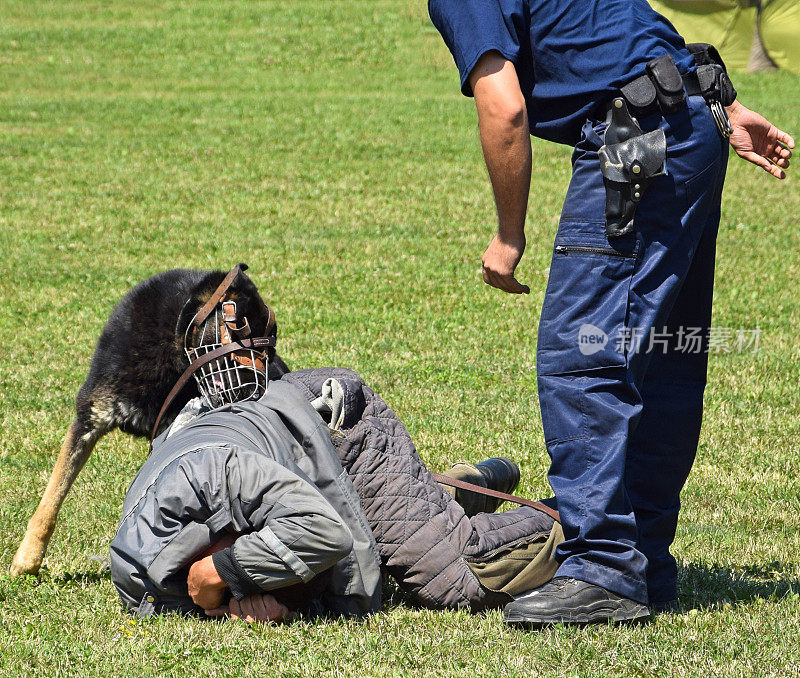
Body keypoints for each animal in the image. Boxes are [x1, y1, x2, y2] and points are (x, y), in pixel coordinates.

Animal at [10, 268, 290, 576]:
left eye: (271, 342)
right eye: (241, 327)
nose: (262, 389)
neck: (172, 346)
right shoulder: (88, 420)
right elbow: (52, 496)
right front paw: (27, 560)